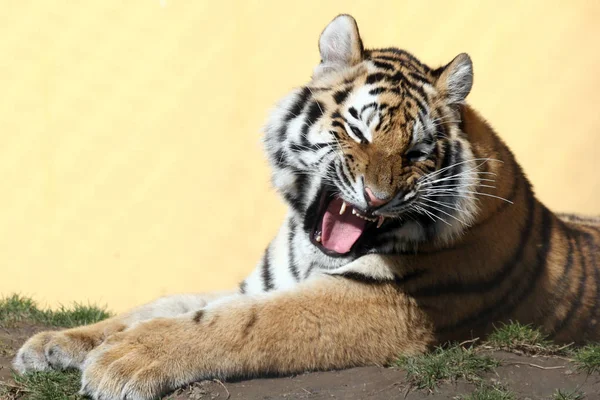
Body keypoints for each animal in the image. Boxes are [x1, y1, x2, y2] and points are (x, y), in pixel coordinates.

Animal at [12, 14, 600, 400]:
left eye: (415, 152)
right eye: (358, 131)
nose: (379, 196)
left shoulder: (378, 302)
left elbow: (238, 323)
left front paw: (123, 359)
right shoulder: (262, 282)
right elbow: (161, 305)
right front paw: (52, 344)